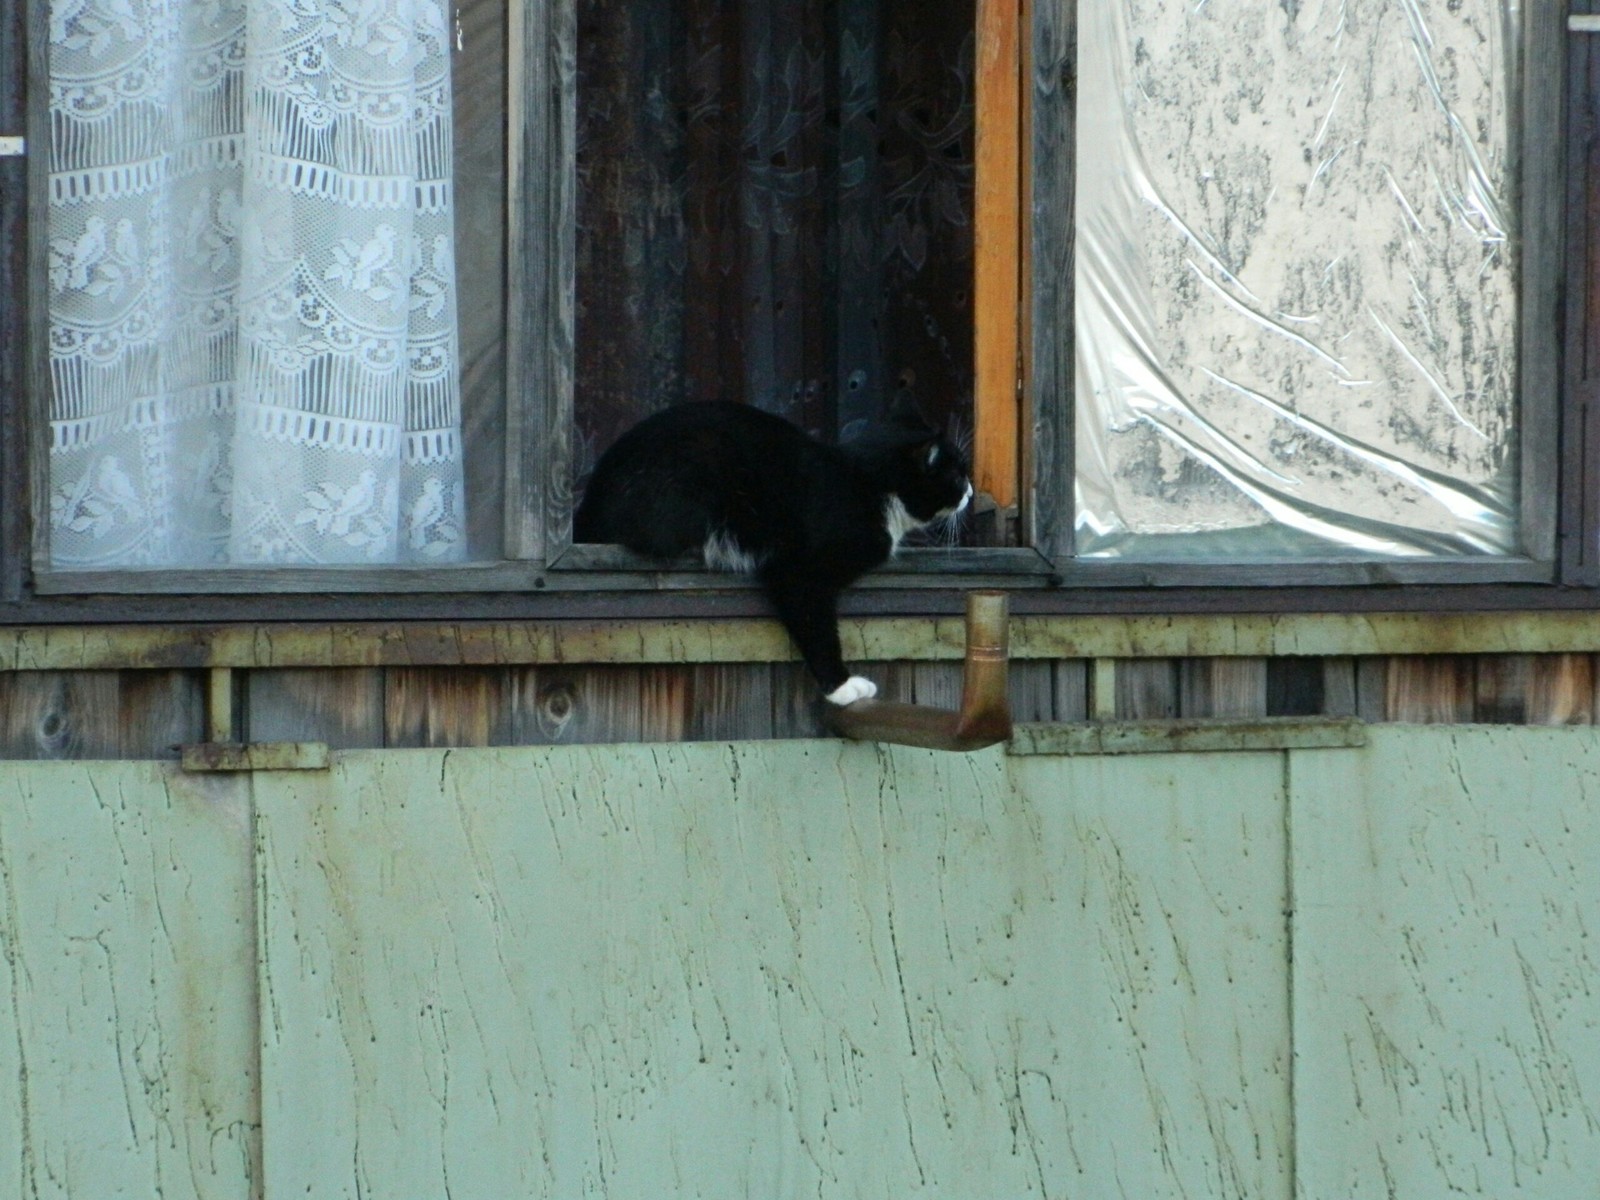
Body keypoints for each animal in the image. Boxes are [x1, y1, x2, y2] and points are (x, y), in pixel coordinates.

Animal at [576, 400, 972, 710]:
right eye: (956, 475)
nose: (970, 492)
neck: (866, 482)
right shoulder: (800, 570)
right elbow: (816, 625)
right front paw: (842, 688)